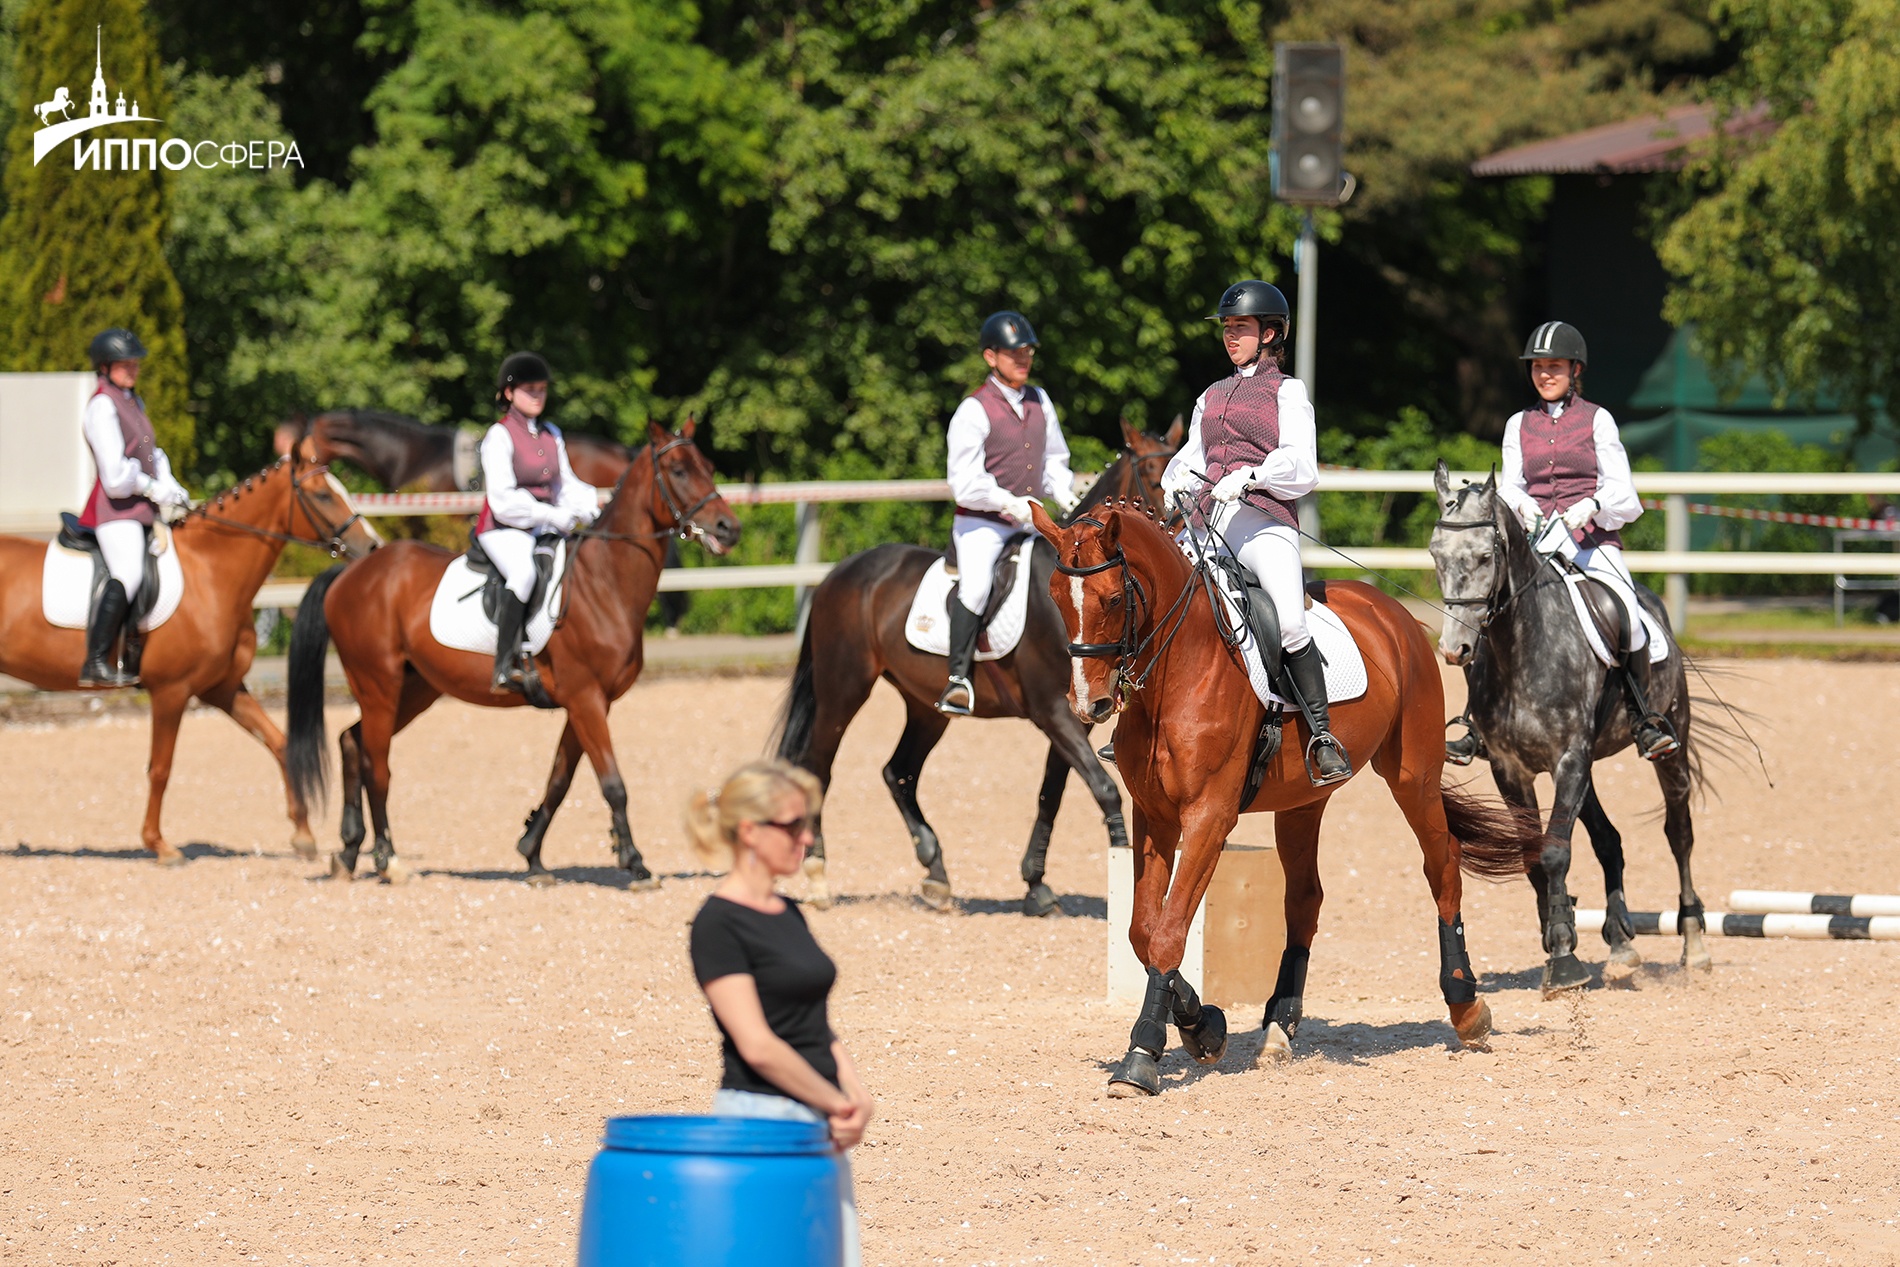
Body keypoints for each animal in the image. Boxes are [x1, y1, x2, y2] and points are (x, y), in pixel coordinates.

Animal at [0, 446, 381, 862]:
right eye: (323, 495)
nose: (372, 547)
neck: (210, 572)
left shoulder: (223, 687)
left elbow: (280, 744)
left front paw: (303, 835)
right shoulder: (172, 691)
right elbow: (161, 767)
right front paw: (159, 845)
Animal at [285, 421, 737, 888]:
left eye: (708, 467)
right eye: (679, 471)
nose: (728, 528)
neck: (603, 582)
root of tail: (352, 572)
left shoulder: (588, 704)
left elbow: (560, 780)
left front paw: (532, 856)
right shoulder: (586, 700)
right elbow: (612, 783)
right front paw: (635, 862)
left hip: (413, 690)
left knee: (351, 742)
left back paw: (349, 851)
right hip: (379, 686)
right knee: (377, 765)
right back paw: (387, 859)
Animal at [767, 421, 1178, 915]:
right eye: (1152, 475)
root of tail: (836, 575)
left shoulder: (1079, 715)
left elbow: (1051, 793)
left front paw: (1036, 885)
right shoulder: (1054, 713)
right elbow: (1103, 789)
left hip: (925, 706)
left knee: (898, 772)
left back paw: (937, 874)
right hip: (843, 690)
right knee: (819, 768)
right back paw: (818, 877)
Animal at [1033, 501, 1550, 1094]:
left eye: (1114, 599)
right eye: (1054, 596)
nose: (1088, 704)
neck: (1181, 669)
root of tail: (1392, 612)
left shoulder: (1209, 817)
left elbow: (1168, 934)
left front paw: (1143, 1053)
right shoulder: (1154, 817)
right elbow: (1144, 931)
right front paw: (1202, 1028)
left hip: (1412, 777)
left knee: (1442, 864)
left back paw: (1466, 1009)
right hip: (1302, 804)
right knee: (1305, 898)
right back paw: (1279, 1025)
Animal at [1428, 461, 1710, 995]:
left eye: (1485, 555)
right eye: (1436, 554)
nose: (1456, 649)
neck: (1521, 649)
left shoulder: (1568, 759)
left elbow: (1556, 852)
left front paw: (1563, 960)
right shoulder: (1511, 769)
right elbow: (1531, 855)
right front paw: (1557, 937)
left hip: (1670, 744)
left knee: (1680, 833)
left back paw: (1693, 944)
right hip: (1587, 768)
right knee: (1608, 838)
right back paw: (1620, 943)